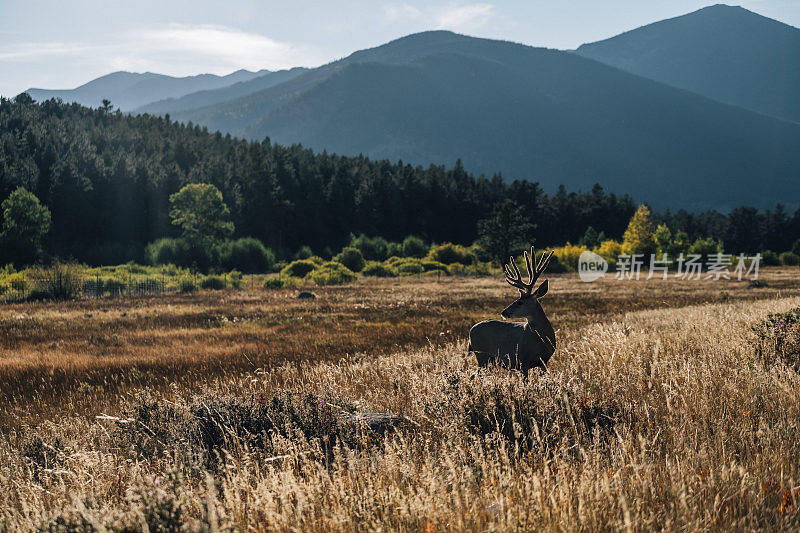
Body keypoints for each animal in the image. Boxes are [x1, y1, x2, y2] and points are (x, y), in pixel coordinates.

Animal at [468, 245, 556, 374]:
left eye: (520, 302)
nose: (503, 312)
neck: (541, 340)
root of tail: (470, 331)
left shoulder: (544, 362)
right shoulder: (522, 361)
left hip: (489, 359)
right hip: (482, 355)